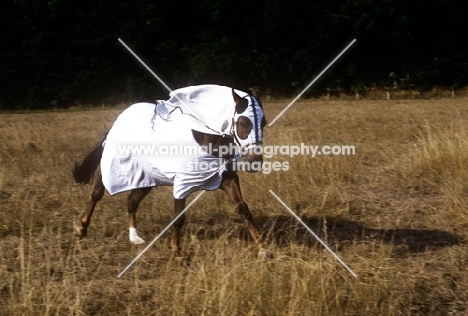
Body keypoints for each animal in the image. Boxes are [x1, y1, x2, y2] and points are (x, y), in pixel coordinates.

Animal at [73, 84, 270, 260]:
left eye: (263, 122)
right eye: (243, 122)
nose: (254, 161)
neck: (203, 137)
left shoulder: (227, 179)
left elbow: (243, 209)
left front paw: (262, 248)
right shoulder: (182, 183)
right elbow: (179, 218)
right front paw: (177, 252)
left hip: (146, 178)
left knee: (132, 202)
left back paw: (135, 238)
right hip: (113, 169)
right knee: (97, 193)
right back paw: (82, 229)